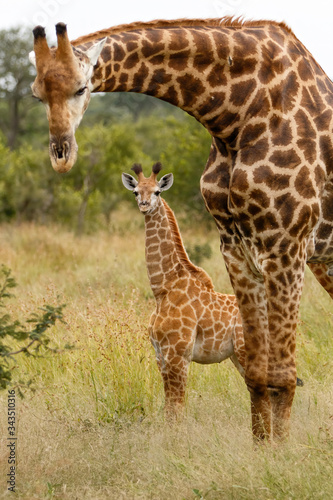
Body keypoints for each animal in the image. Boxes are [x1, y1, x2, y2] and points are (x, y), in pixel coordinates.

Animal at [122, 161, 246, 418]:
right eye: (135, 191)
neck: (163, 288)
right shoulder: (160, 355)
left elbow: (175, 408)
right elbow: (170, 406)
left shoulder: (178, 354)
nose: (144, 205)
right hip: (238, 357)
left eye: (157, 192)